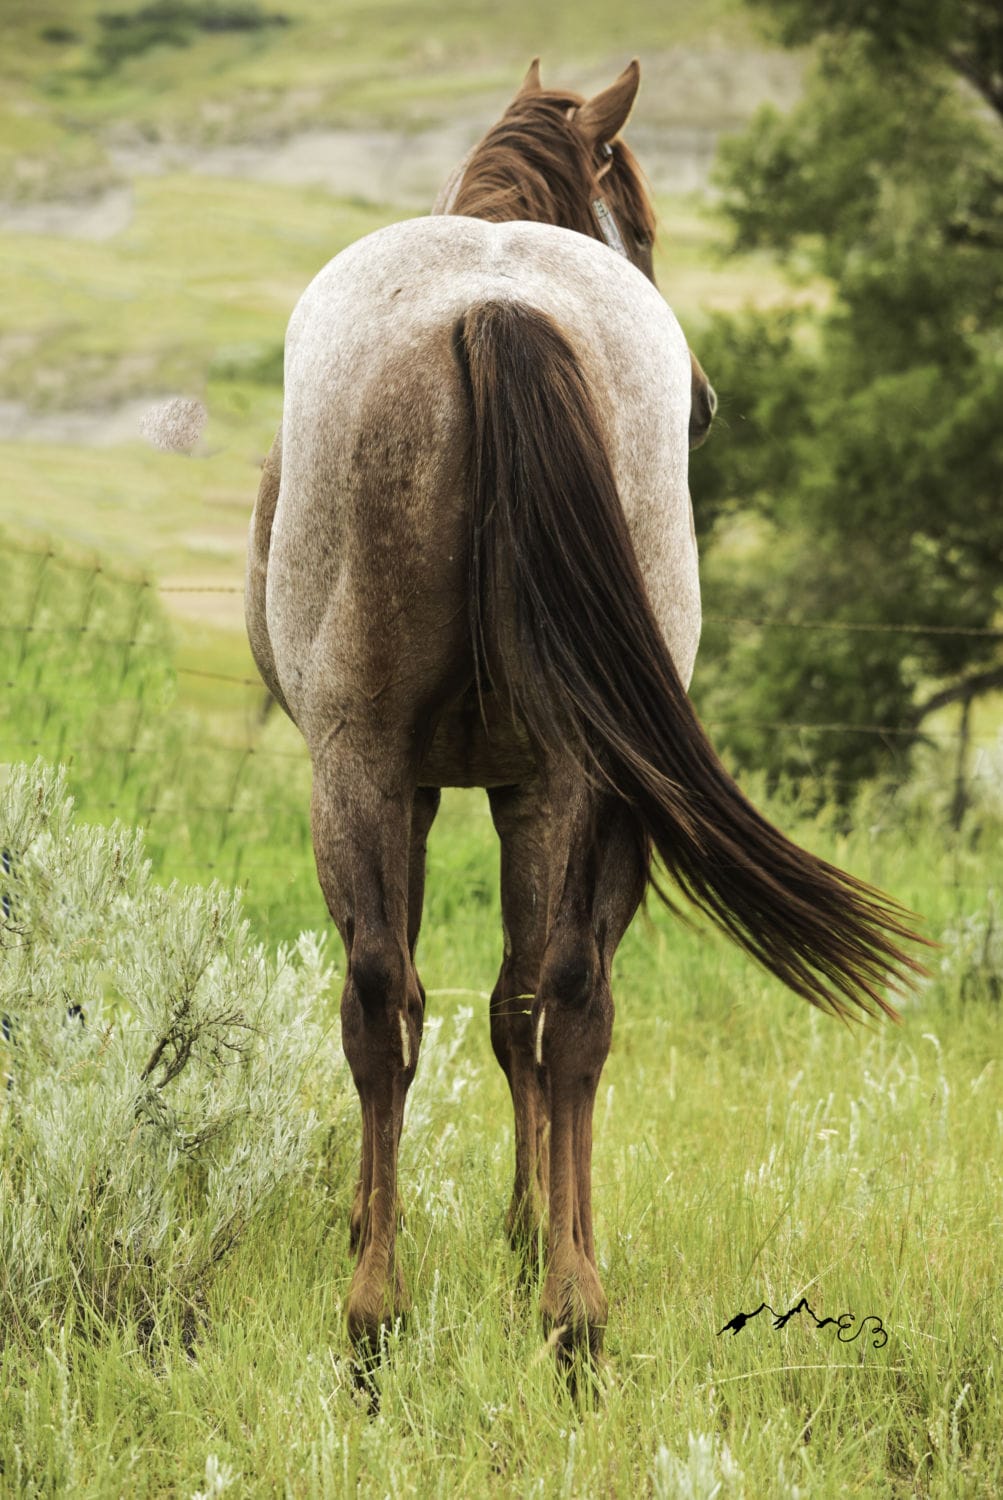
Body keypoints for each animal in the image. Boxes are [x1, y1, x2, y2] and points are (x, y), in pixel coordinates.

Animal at [245, 58, 923, 1365]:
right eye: (644, 226)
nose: (704, 403)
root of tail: (494, 305)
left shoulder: (455, 784)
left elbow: (484, 1005)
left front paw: (497, 1231)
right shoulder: (510, 785)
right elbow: (516, 1005)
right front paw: (527, 1234)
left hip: (377, 768)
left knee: (401, 995)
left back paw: (396, 1309)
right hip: (544, 777)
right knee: (557, 1001)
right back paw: (562, 1310)